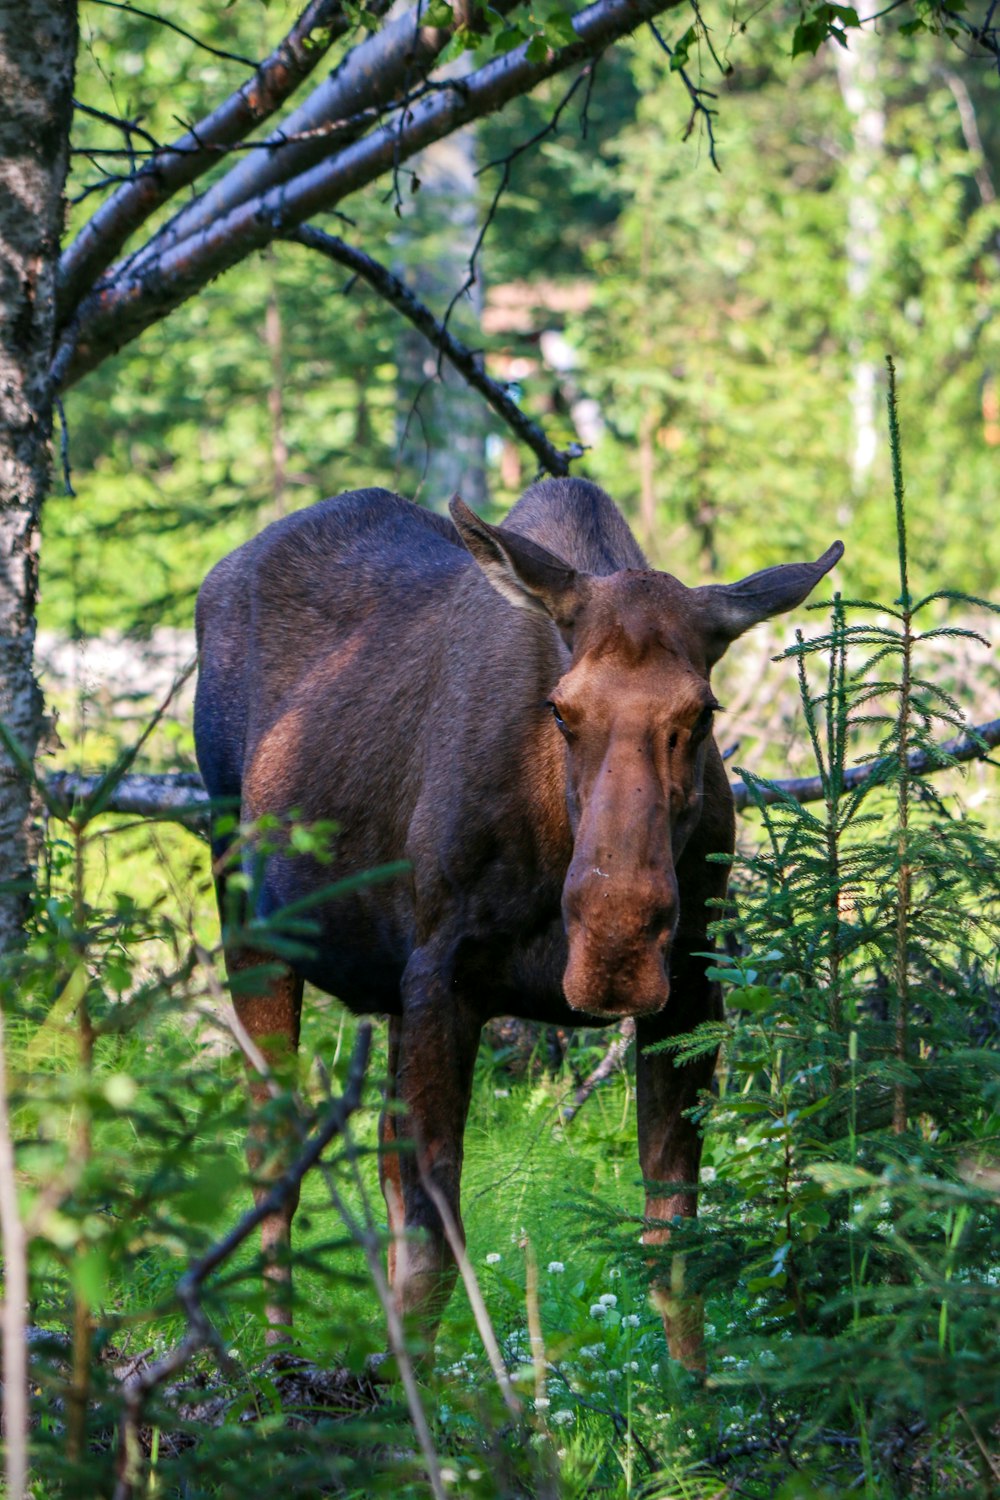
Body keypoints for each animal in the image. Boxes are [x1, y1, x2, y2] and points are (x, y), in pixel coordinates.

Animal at [193, 477, 839, 1362]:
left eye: (703, 713)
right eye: (561, 711)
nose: (615, 948)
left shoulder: (689, 993)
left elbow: (674, 1243)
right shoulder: (444, 977)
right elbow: (433, 1246)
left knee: (379, 1168)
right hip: (249, 915)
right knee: (274, 1152)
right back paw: (274, 1359)